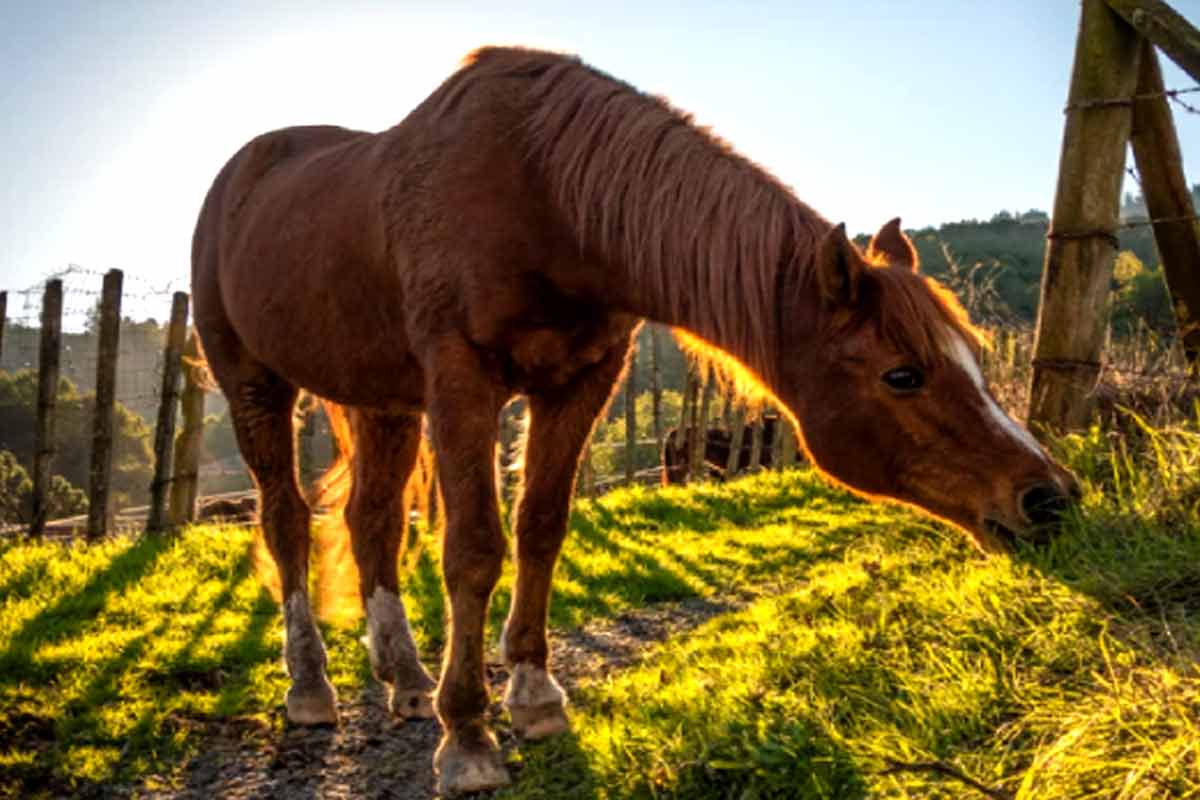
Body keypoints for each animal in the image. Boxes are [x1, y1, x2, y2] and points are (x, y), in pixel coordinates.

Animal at [191, 46, 1079, 795]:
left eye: (974, 356)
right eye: (903, 374)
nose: (1050, 497)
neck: (543, 192)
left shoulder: (581, 381)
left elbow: (541, 527)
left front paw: (533, 695)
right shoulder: (462, 380)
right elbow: (474, 548)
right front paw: (469, 736)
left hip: (379, 400)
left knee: (371, 520)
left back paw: (406, 681)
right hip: (256, 385)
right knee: (287, 521)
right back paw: (311, 687)